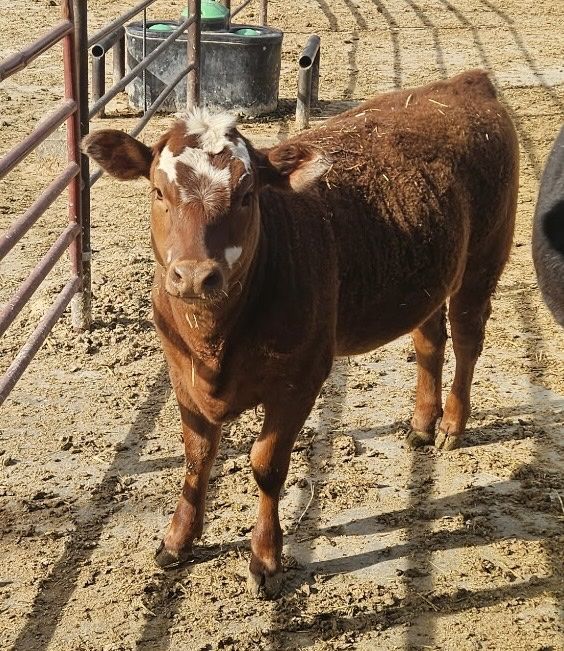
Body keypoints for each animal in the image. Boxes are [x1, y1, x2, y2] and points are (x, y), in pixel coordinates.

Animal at [82, 70, 519, 597]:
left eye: (247, 195)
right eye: (159, 193)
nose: (195, 276)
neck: (214, 342)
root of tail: (465, 83)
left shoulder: (301, 377)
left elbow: (267, 466)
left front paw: (266, 559)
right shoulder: (179, 371)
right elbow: (196, 457)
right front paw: (177, 539)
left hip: (484, 257)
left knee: (469, 339)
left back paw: (452, 424)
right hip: (428, 276)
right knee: (429, 341)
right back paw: (422, 423)